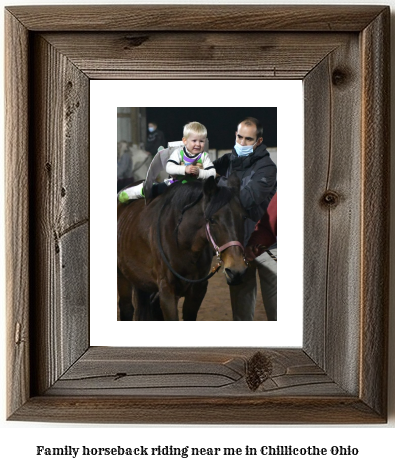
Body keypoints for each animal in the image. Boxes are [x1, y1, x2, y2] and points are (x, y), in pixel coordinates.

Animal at [117, 174, 248, 322]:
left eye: (243, 217)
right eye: (212, 220)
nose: (237, 270)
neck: (183, 244)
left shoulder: (198, 290)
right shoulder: (167, 291)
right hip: (122, 275)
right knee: (127, 308)